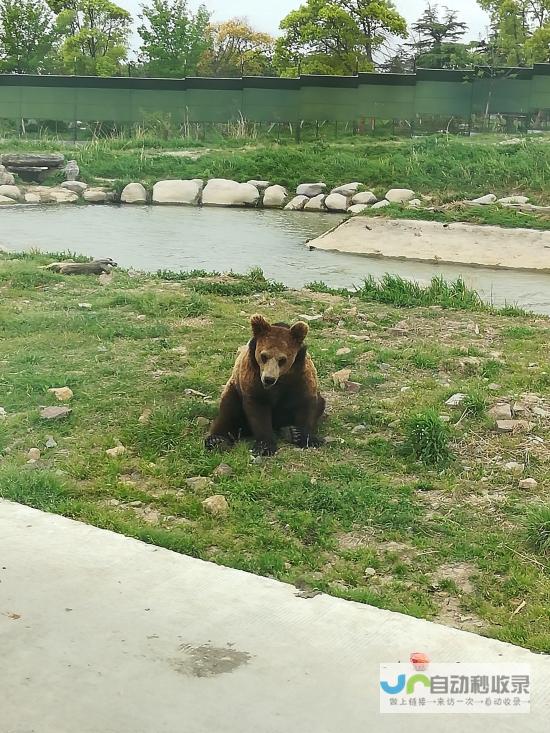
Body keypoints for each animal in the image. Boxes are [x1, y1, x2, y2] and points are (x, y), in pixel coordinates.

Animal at [207, 314, 328, 454]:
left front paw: (301, 435)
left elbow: (305, 404)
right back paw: (216, 440)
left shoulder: (300, 376)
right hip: (234, 390)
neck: (280, 380)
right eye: (263, 356)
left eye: (282, 359)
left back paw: (290, 432)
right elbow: (259, 411)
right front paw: (265, 446)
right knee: (228, 410)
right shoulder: (253, 379)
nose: (268, 379)